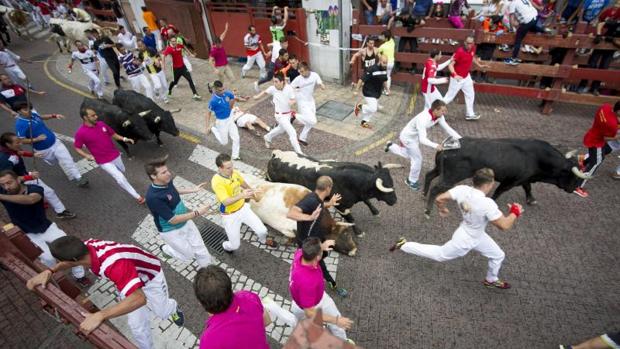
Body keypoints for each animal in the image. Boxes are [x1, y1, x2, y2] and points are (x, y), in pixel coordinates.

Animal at [266, 150, 398, 237]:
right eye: (385, 188)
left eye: (392, 183)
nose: (394, 201)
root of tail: (276, 154)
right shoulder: (342, 206)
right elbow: (351, 218)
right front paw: (359, 232)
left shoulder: (361, 195)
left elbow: (368, 201)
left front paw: (376, 212)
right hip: (272, 180)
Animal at [422, 137, 592, 215]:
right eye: (574, 176)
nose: (575, 188)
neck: (538, 158)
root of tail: (446, 146)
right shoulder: (511, 181)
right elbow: (499, 192)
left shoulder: (524, 179)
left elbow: (528, 188)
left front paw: (531, 200)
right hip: (451, 176)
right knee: (436, 188)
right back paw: (428, 210)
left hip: (440, 170)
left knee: (429, 175)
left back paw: (423, 194)